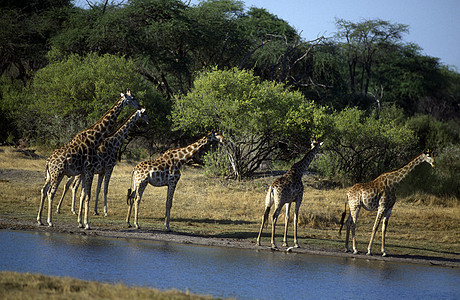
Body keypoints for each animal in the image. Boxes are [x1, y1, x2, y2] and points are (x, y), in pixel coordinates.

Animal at [36, 90, 140, 229]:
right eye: (132, 98)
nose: (139, 106)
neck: (95, 137)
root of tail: (48, 161)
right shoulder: (93, 170)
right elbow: (88, 195)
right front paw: (87, 223)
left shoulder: (86, 172)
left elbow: (84, 194)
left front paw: (81, 222)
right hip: (58, 174)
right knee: (51, 192)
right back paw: (50, 221)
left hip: (51, 175)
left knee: (44, 190)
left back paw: (40, 220)